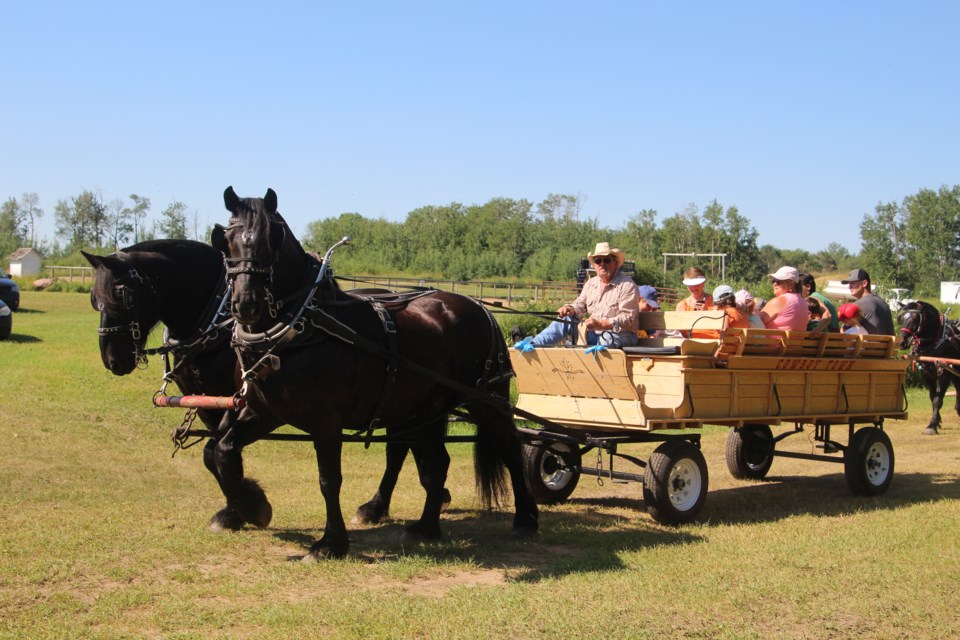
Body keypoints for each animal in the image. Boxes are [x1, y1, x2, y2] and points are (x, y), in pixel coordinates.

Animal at [212, 186, 540, 560]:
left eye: (272, 239)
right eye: (227, 240)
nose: (246, 303)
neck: (302, 324)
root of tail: (480, 308)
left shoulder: (326, 421)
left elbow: (329, 480)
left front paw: (330, 543)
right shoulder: (263, 411)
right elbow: (222, 450)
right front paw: (252, 506)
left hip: (486, 401)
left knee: (510, 449)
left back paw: (526, 518)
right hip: (427, 411)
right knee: (437, 465)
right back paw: (426, 527)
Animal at [896, 300, 960, 436]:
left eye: (916, 319)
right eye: (902, 319)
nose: (902, 342)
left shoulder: (944, 373)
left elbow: (938, 400)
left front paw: (932, 426)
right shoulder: (926, 373)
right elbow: (932, 397)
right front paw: (936, 421)